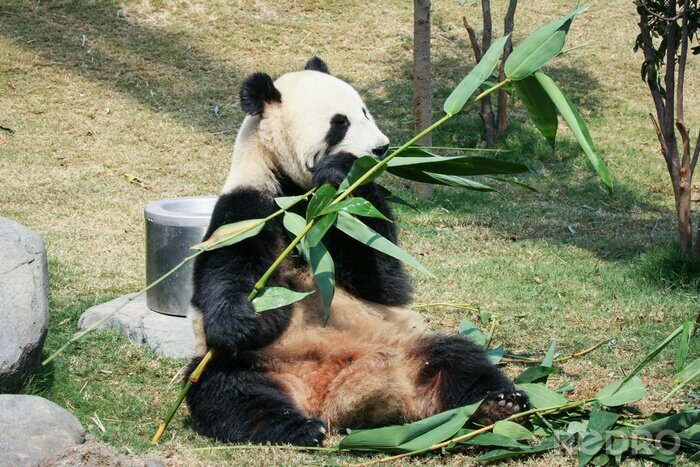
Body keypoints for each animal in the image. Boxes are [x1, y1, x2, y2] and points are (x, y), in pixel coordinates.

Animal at [185, 57, 527, 446]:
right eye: (340, 123)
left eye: (364, 111)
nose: (381, 149)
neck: (304, 197)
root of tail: (332, 395)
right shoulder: (250, 205)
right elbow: (228, 271)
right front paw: (240, 320)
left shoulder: (344, 214)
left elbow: (381, 277)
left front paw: (344, 171)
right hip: (258, 362)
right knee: (227, 389)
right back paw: (298, 427)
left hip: (406, 345)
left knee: (458, 357)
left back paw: (499, 403)